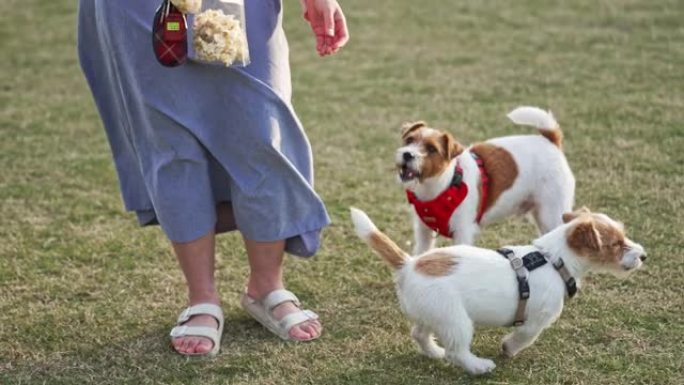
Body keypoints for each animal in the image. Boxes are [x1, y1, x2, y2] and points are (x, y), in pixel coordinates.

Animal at [352, 207, 648, 376]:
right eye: (616, 244)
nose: (644, 255)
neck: (554, 258)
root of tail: (409, 264)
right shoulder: (538, 320)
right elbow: (525, 337)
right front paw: (508, 349)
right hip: (457, 321)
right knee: (457, 351)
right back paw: (479, 366)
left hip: (434, 313)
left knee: (420, 334)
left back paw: (435, 352)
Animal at [398, 107, 576, 252]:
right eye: (409, 140)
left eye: (431, 149)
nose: (407, 154)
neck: (443, 184)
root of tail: (550, 140)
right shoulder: (424, 233)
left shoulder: (463, 231)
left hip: (552, 214)